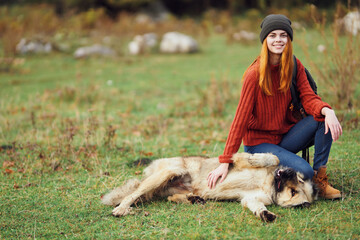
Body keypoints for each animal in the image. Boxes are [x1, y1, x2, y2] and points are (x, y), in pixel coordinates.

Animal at [102, 153, 318, 222]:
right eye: (298, 181)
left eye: (294, 191)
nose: (288, 171)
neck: (269, 185)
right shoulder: (237, 159)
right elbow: (273, 158)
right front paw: (258, 159)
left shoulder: (251, 199)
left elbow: (257, 207)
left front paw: (265, 214)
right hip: (167, 173)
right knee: (134, 193)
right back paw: (122, 208)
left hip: (173, 187)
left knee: (171, 197)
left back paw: (193, 199)